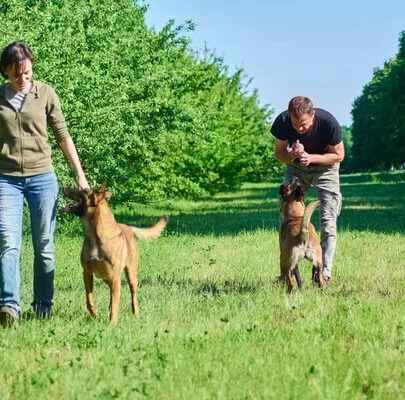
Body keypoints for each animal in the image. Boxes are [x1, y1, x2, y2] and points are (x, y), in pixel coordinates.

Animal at [58, 183, 166, 324]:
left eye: (84, 191)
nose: (63, 188)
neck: (95, 237)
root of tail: (128, 227)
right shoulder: (87, 273)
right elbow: (89, 300)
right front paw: (95, 315)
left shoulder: (115, 276)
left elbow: (115, 304)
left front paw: (112, 324)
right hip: (107, 277)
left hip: (130, 274)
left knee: (133, 294)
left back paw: (135, 314)